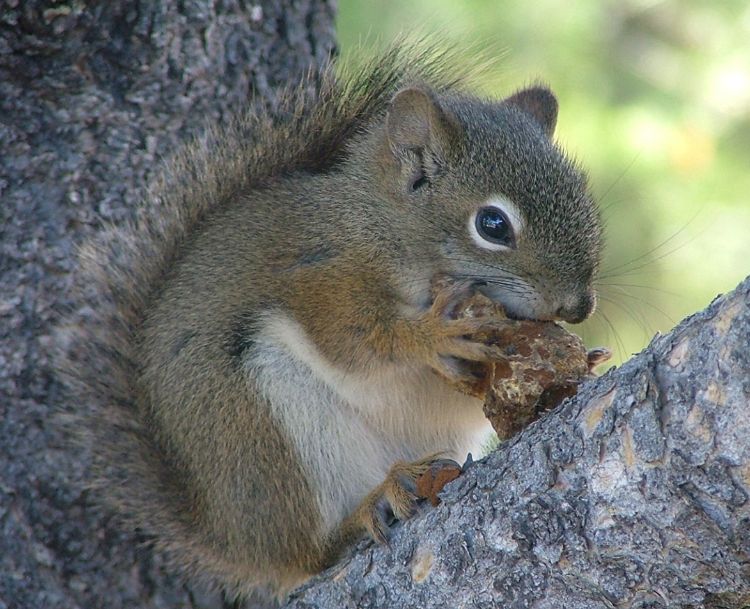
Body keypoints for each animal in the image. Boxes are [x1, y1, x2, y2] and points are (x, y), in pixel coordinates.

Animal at [58, 45, 604, 600]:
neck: (382, 228)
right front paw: (430, 335)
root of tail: (229, 536)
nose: (578, 307)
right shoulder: (319, 277)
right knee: (309, 553)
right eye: (493, 225)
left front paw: (581, 361)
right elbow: (352, 339)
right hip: (265, 431)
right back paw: (369, 506)